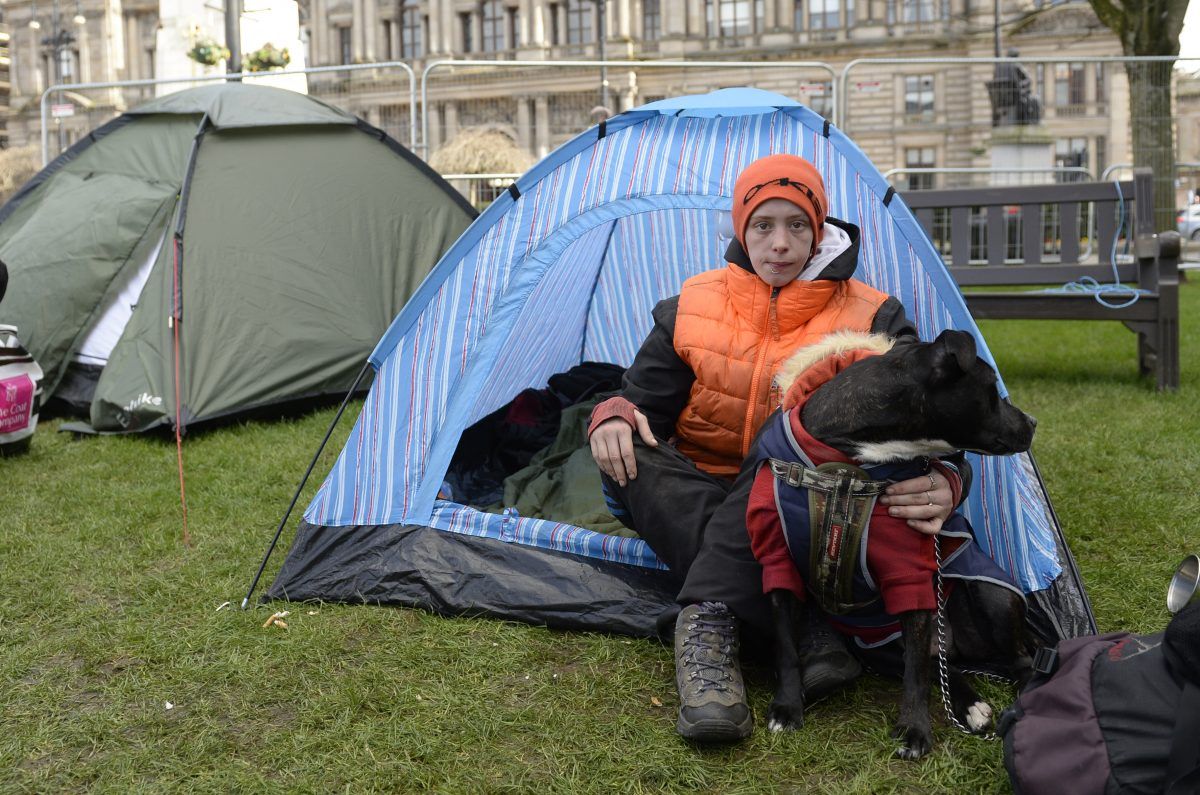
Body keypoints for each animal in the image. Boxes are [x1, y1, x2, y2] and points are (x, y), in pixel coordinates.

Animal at [748, 329, 1041, 758]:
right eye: (993, 391)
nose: (1033, 422)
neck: (849, 469)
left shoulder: (909, 576)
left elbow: (915, 675)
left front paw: (914, 730)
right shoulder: (778, 562)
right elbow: (786, 646)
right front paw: (786, 708)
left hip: (992, 595)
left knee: (1018, 661)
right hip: (880, 646)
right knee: (942, 666)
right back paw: (969, 703)